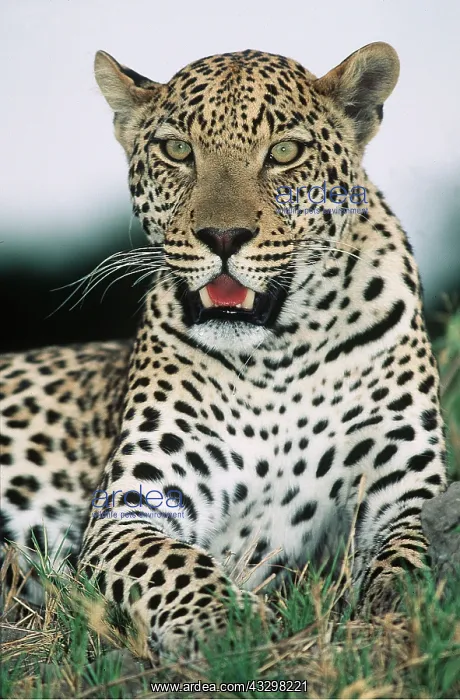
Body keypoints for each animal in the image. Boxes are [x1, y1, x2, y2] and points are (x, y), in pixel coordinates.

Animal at [0, 42, 447, 659]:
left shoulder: (403, 487)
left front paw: (399, 616)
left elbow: (407, 555)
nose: (223, 237)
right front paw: (229, 627)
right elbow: (173, 564)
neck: (281, 354)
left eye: (284, 152)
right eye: (177, 150)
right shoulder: (134, 504)